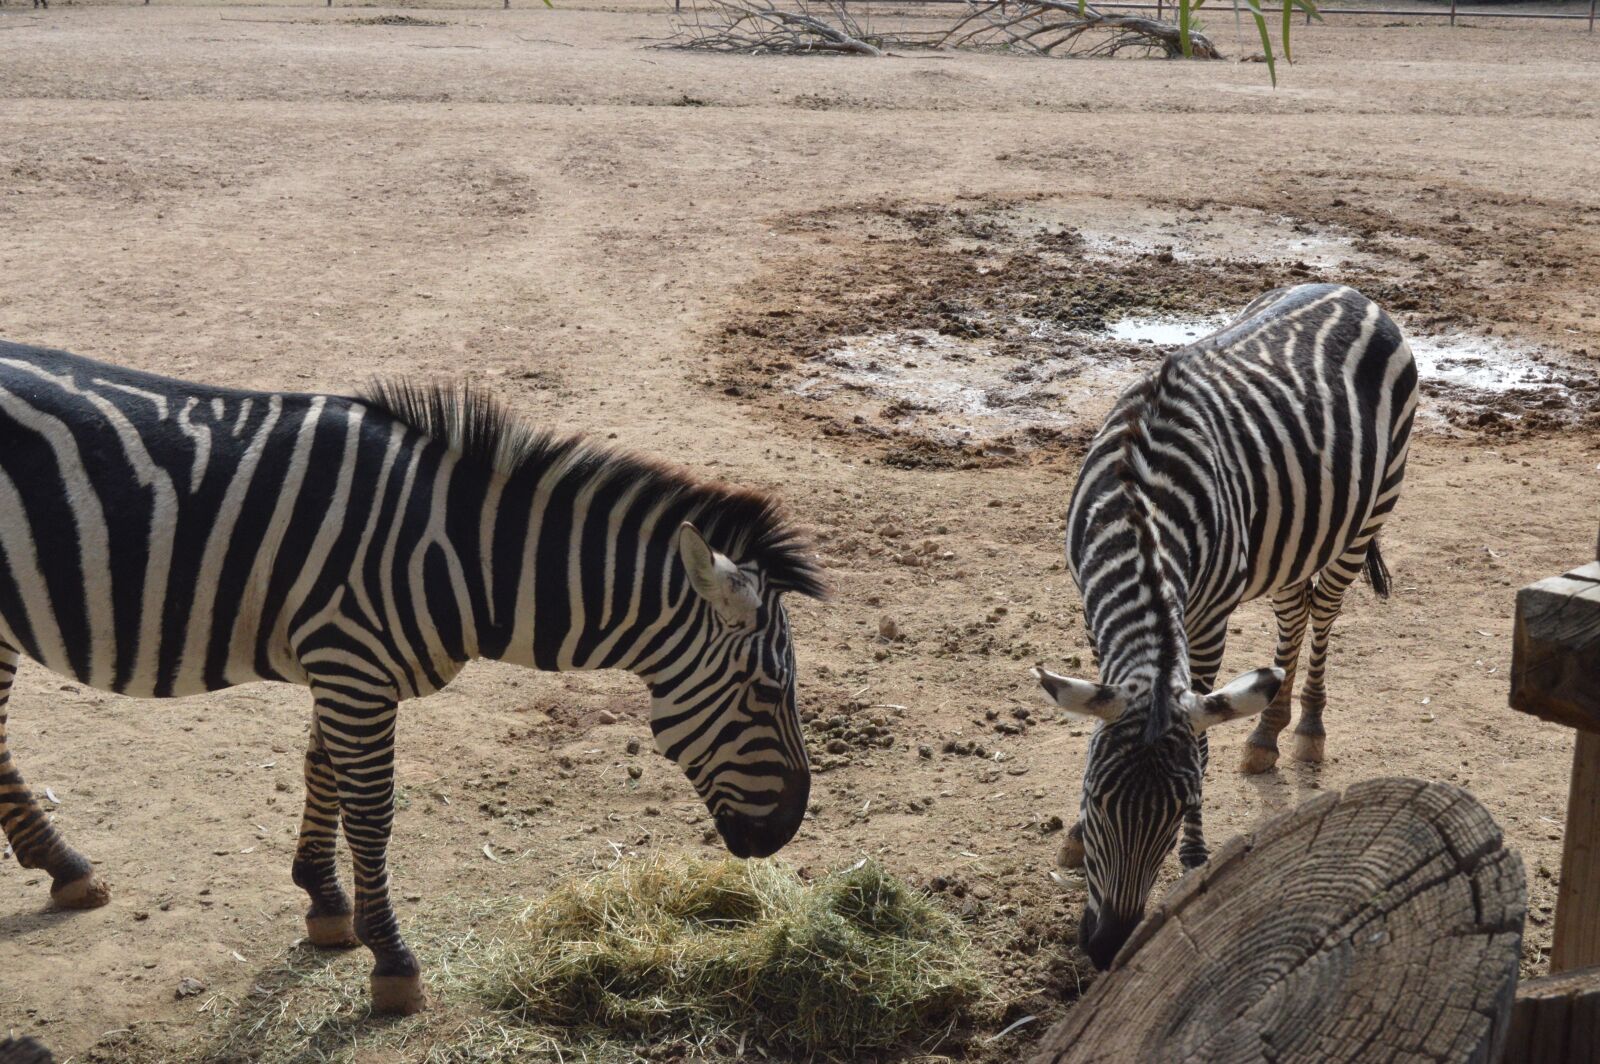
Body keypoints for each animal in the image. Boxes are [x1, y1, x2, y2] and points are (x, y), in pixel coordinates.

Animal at [0, 342, 823, 1014]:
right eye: (765, 692)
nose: (785, 831)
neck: (462, 554)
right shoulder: (352, 663)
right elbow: (371, 811)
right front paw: (392, 961)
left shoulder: (338, 663)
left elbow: (320, 771)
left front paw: (324, 901)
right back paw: (64, 862)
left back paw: (62, 865)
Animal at [1032, 283, 1417, 971]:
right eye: (1096, 797)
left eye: (1181, 806)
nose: (1107, 950)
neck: (1138, 506)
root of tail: (1350, 290)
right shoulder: (1092, 607)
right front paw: (1073, 837)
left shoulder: (1208, 619)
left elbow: (1203, 737)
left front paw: (1193, 856)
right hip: (1293, 539)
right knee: (1294, 613)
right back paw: (1266, 731)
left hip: (1367, 515)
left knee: (1324, 612)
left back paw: (1306, 727)